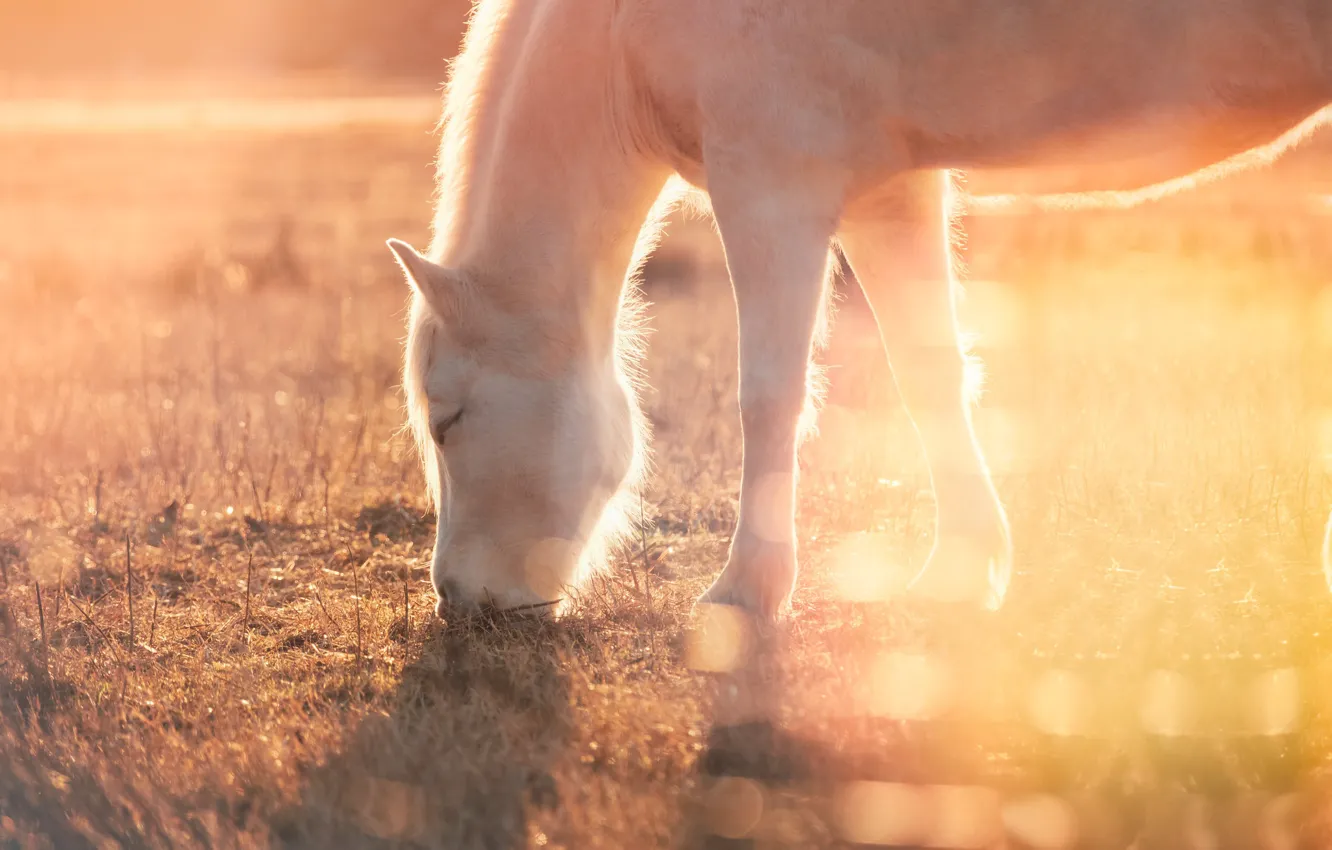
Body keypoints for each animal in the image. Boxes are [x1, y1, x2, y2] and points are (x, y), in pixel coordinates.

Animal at [390, 0, 1332, 619]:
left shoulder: (771, 183)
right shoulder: (890, 193)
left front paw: (748, 590)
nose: (459, 601)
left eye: (447, 419)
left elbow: (769, 399)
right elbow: (931, 377)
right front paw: (963, 569)